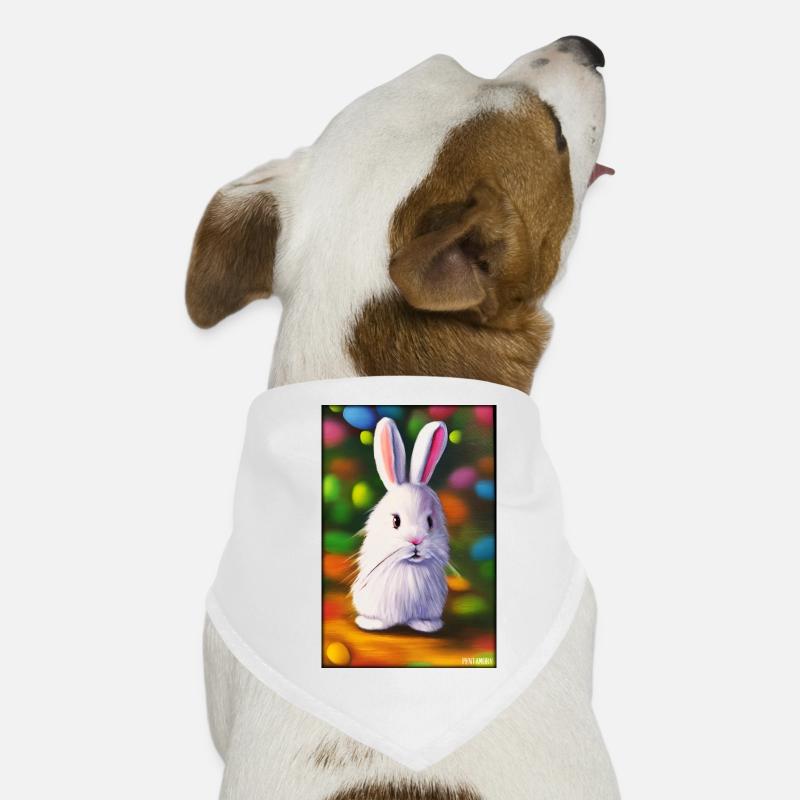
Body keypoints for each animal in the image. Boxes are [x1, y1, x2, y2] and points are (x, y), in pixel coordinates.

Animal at [352, 416, 450, 633]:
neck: (408, 565)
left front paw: (427, 626)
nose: (416, 541)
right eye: (396, 521)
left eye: (430, 522)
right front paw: (372, 624)